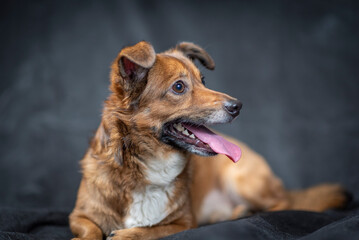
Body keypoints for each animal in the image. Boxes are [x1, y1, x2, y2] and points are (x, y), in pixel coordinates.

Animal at [69, 41, 350, 240]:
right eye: (179, 87)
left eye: (203, 81)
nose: (237, 106)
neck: (147, 167)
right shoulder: (78, 216)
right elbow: (90, 229)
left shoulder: (183, 223)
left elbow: (149, 230)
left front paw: (125, 234)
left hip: (240, 179)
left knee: (284, 205)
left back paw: (243, 213)